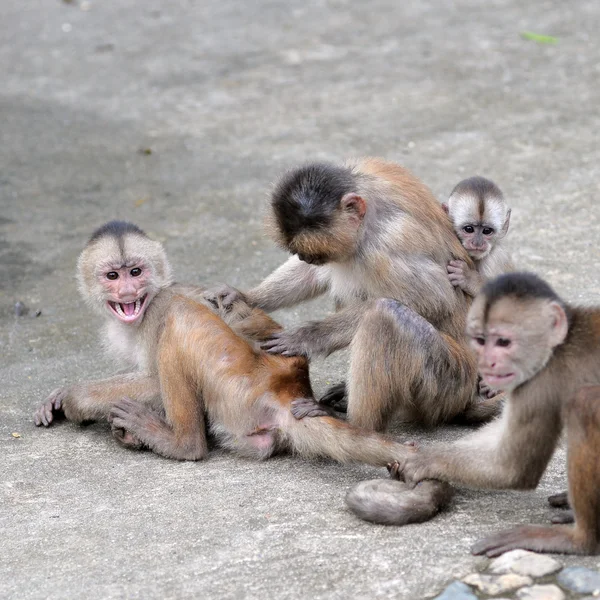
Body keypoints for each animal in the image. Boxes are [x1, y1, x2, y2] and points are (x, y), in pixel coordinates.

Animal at [32, 220, 452, 524]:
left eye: (136, 272)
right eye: (112, 276)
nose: (127, 293)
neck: (144, 308)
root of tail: (291, 387)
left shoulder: (158, 309)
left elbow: (153, 377)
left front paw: (75, 398)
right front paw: (60, 397)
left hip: (239, 383)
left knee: (183, 319)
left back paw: (180, 442)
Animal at [204, 157, 500, 428]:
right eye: (303, 253)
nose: (303, 256)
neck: (369, 204)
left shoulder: (386, 242)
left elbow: (434, 300)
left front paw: (305, 337)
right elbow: (316, 274)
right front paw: (245, 296)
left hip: (448, 384)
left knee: (386, 314)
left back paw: (353, 423)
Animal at [352, 274, 600, 556]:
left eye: (504, 341)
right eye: (483, 340)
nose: (491, 362)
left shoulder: (539, 382)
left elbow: (514, 467)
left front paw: (424, 461)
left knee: (584, 403)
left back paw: (581, 539)